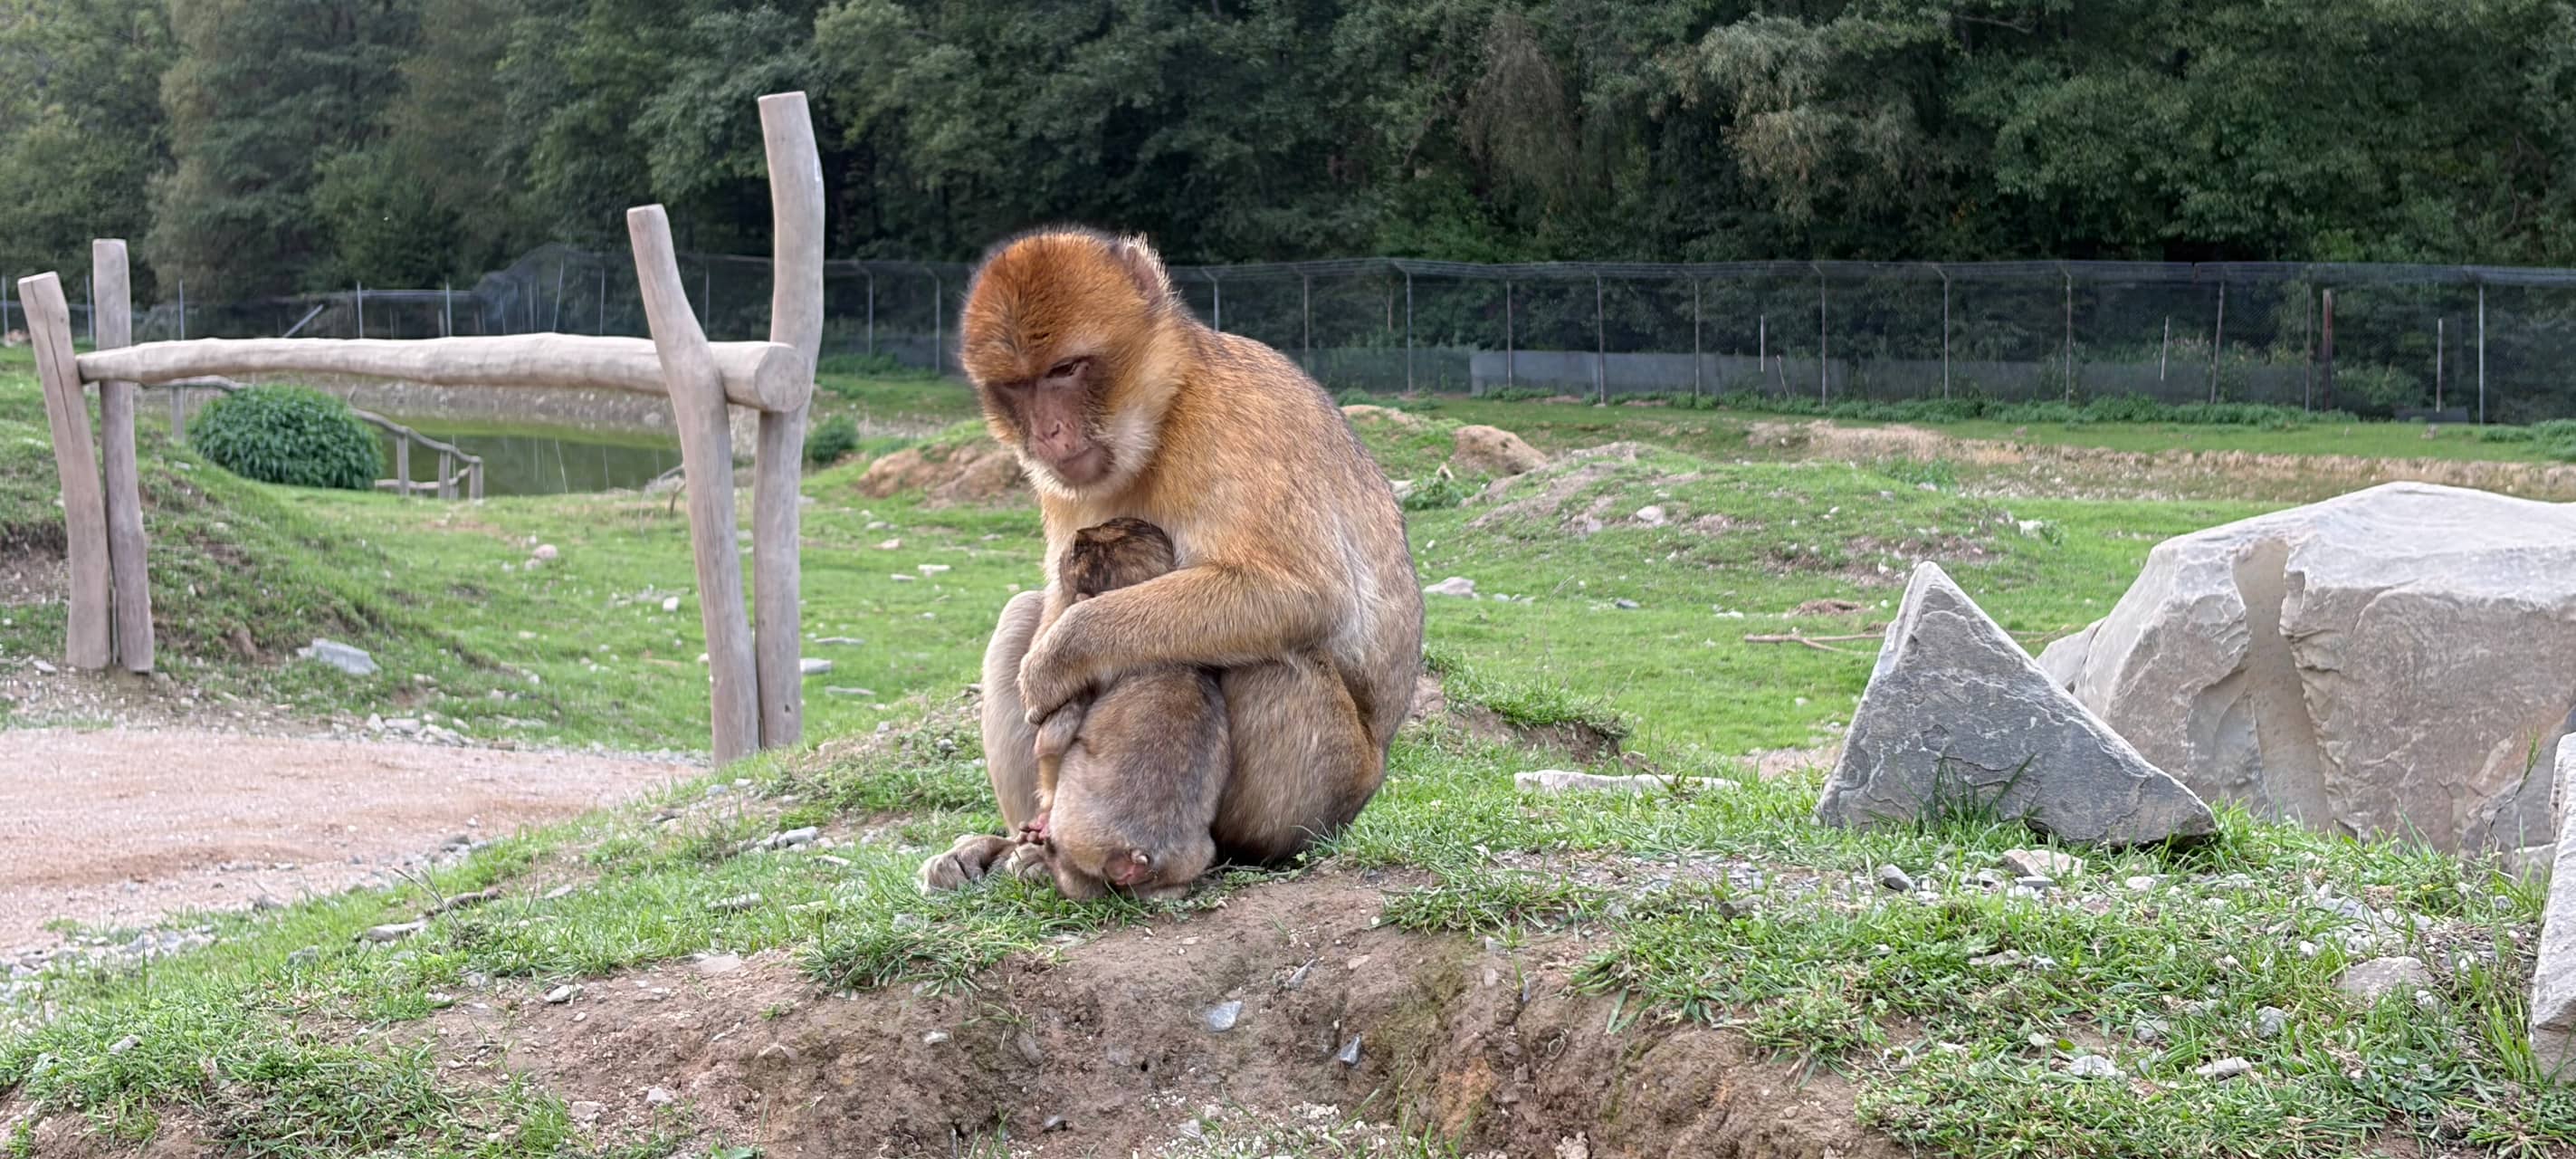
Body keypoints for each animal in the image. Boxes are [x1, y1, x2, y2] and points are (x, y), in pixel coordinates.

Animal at [915, 226, 1424, 895]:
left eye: (1066, 370)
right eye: (1019, 386)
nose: (1048, 434)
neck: (1161, 417)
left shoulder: (1229, 424)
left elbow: (1301, 593)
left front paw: (1061, 657)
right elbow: (1051, 599)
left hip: (1327, 796)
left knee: (1277, 657)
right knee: (1022, 611)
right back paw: (1013, 844)